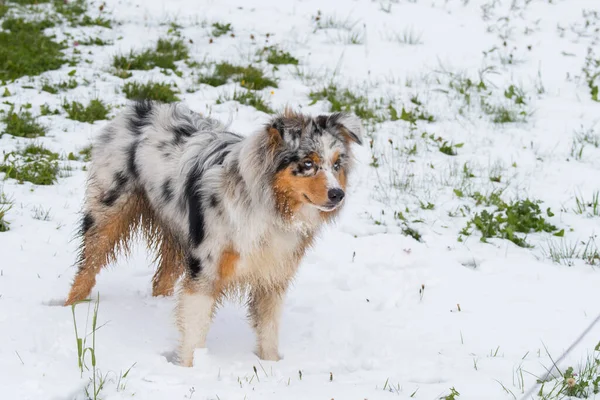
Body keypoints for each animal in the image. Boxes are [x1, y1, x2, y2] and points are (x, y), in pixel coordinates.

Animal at [65, 100, 366, 366]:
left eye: (337, 165)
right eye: (308, 164)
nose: (337, 194)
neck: (270, 208)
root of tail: (140, 107)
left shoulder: (273, 275)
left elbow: (268, 331)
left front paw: (272, 367)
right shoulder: (206, 269)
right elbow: (195, 331)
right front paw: (190, 370)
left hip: (178, 231)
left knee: (161, 279)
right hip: (109, 212)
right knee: (87, 268)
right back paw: (70, 309)